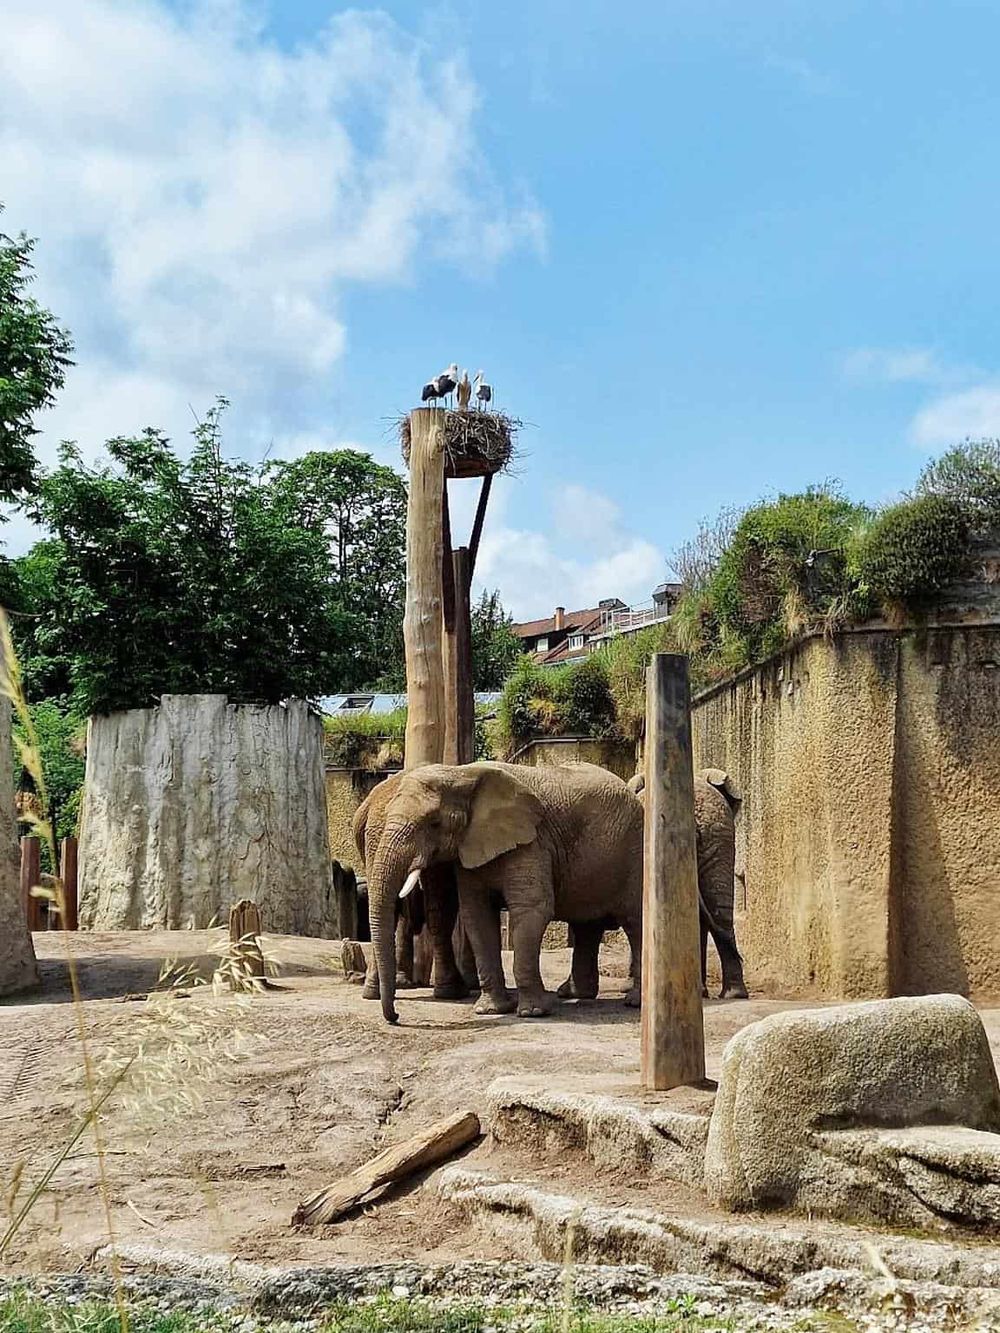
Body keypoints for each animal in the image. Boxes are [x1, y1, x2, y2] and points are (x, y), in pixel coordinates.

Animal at [359, 761, 643, 1024]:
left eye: (434, 823)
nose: (396, 1016)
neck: (462, 774)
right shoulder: (469, 849)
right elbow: (477, 915)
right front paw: (490, 1010)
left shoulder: (532, 842)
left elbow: (532, 910)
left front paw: (532, 1013)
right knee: (586, 925)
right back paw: (573, 994)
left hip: (633, 851)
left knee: (634, 922)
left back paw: (633, 1002)